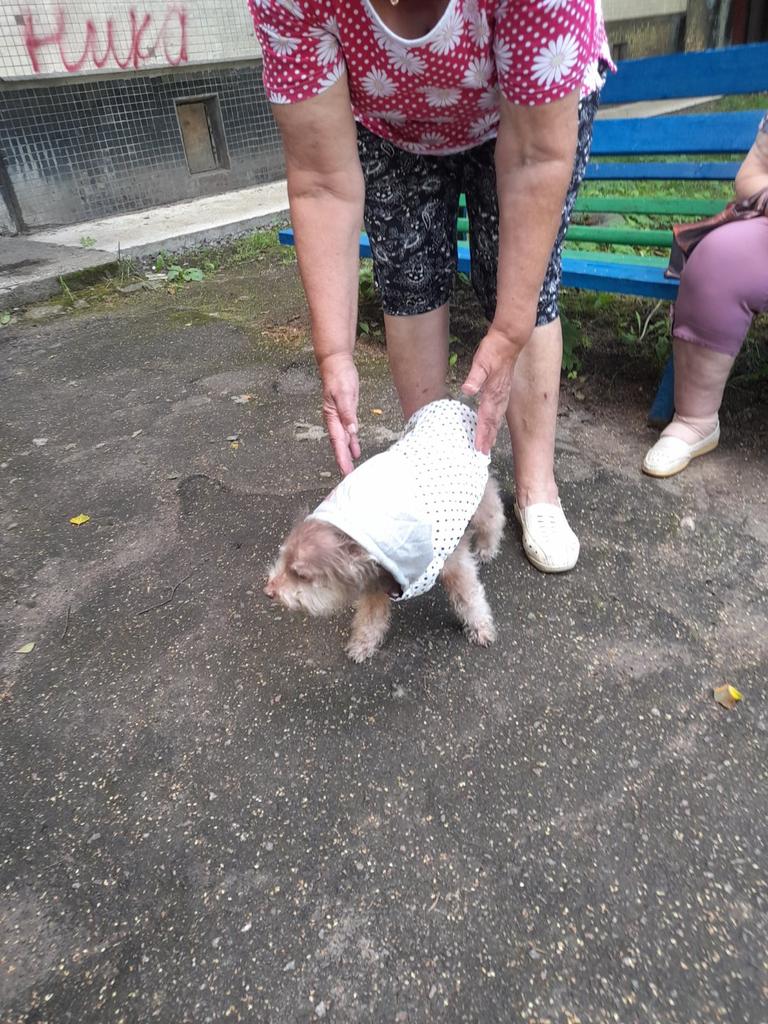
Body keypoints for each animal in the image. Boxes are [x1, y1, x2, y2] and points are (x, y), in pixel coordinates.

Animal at [265, 399, 505, 661]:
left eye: (301, 575)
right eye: (282, 559)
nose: (269, 591)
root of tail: (453, 403)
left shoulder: (454, 564)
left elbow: (469, 598)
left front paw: (480, 627)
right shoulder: (376, 580)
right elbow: (370, 617)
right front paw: (363, 643)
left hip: (479, 497)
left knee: (494, 512)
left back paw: (487, 547)